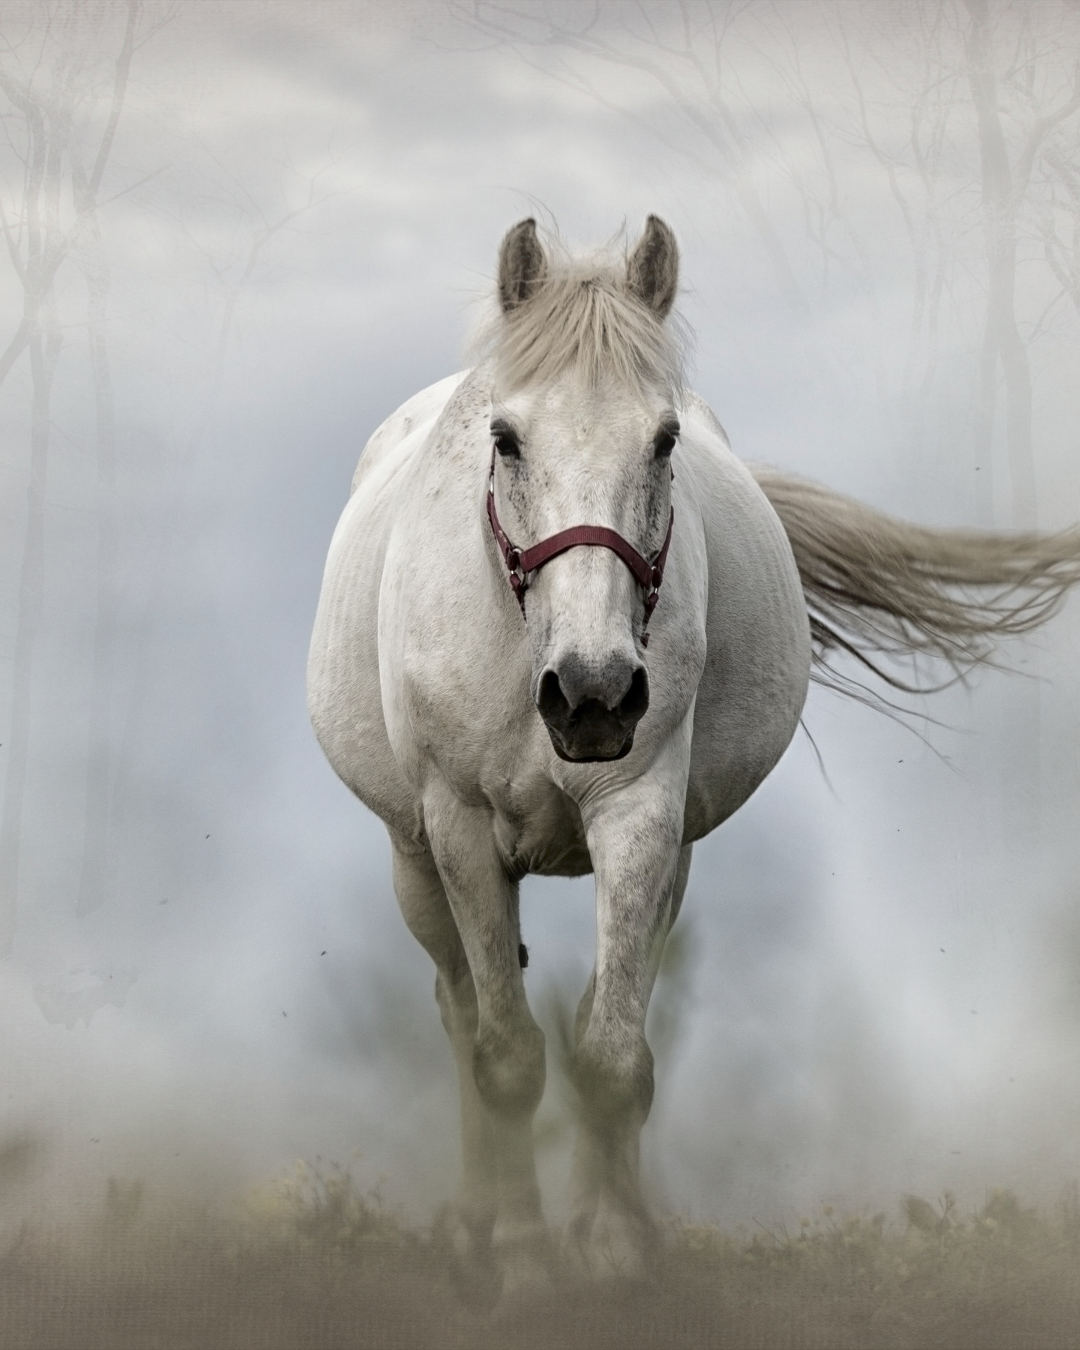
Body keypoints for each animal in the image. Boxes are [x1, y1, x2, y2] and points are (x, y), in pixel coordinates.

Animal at [307, 216, 1080, 1299]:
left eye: (664, 440)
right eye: (506, 439)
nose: (591, 693)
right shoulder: (459, 829)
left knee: (597, 1010)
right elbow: (506, 1058)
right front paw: (522, 1259)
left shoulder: (642, 818)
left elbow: (611, 1055)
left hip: (670, 858)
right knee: (460, 1015)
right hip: (413, 860)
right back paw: (474, 1225)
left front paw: (615, 1249)